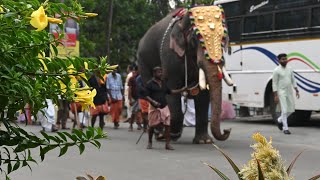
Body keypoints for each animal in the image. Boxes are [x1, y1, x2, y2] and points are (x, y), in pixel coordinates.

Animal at [137, 5, 232, 143]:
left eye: (223, 39)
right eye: (194, 39)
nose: (227, 130)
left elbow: (203, 94)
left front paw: (204, 141)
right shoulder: (170, 56)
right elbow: (171, 89)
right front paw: (173, 135)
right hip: (142, 61)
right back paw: (159, 134)